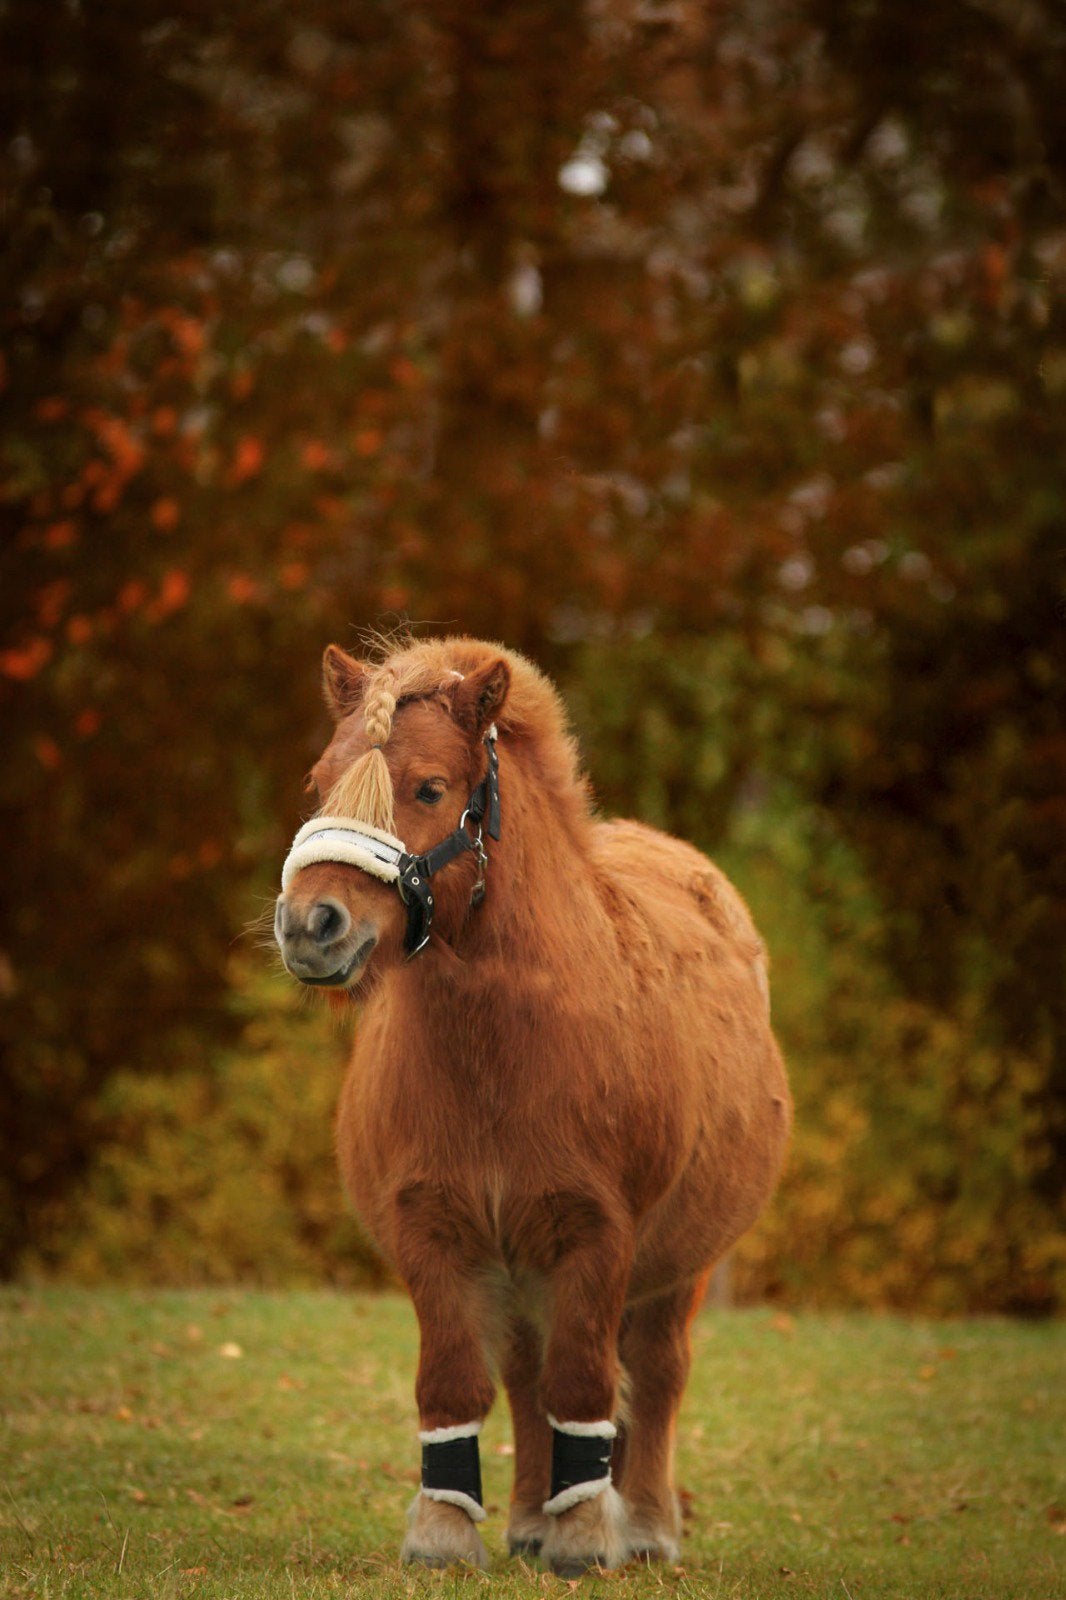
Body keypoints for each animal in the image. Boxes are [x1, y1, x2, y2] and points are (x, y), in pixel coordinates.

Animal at [274, 634, 790, 1574]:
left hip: (680, 1268)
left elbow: (586, 1380)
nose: (309, 925)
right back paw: (524, 1518)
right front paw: (446, 1533)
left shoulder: (599, 1237)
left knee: (656, 1372)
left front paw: (586, 1534)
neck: (505, 1051)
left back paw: (645, 1525)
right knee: (523, 1375)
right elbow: (455, 1381)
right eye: (317, 781)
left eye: (429, 788)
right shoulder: (433, 1232)